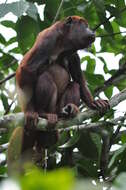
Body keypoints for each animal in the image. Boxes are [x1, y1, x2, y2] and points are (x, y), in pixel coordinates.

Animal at [15, 15, 109, 154]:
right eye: (85, 25)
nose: (92, 31)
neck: (63, 45)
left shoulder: (74, 54)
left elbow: (79, 79)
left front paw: (94, 103)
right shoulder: (47, 38)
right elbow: (26, 69)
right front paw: (29, 111)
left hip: (57, 108)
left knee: (74, 85)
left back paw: (69, 110)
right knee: (44, 77)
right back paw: (42, 113)